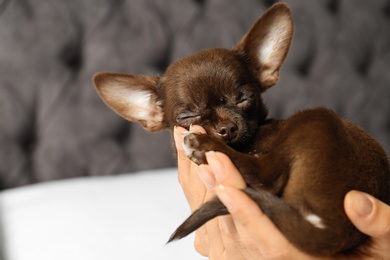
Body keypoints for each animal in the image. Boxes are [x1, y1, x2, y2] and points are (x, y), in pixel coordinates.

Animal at [93, 3, 388, 256]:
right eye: (189, 115)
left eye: (244, 98)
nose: (226, 128)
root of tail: (337, 230)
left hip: (316, 118)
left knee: (267, 175)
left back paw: (204, 146)